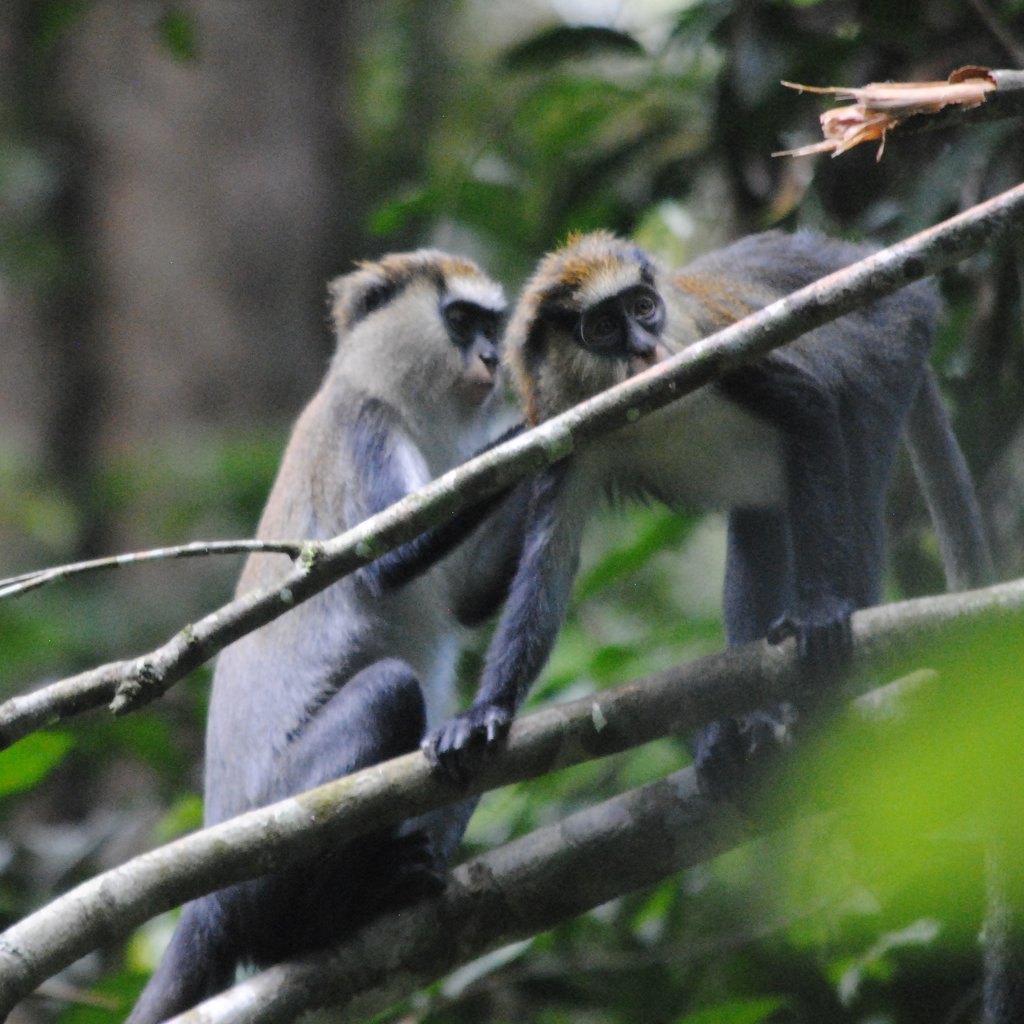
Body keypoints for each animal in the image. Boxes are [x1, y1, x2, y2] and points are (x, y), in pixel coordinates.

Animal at [128, 250, 525, 1024]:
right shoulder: (363, 429)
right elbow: (385, 560)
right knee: (388, 692)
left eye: (492, 326)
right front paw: (544, 419)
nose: (493, 359)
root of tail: (205, 904)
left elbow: (464, 600)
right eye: (461, 320)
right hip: (264, 864)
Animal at [422, 229, 992, 798]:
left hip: (893, 342)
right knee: (761, 525)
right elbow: (549, 564)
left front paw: (820, 610)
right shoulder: (567, 436)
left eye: (644, 308)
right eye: (603, 328)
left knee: (857, 471)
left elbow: (812, 408)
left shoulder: (716, 357)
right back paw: (752, 723)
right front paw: (485, 711)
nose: (644, 347)